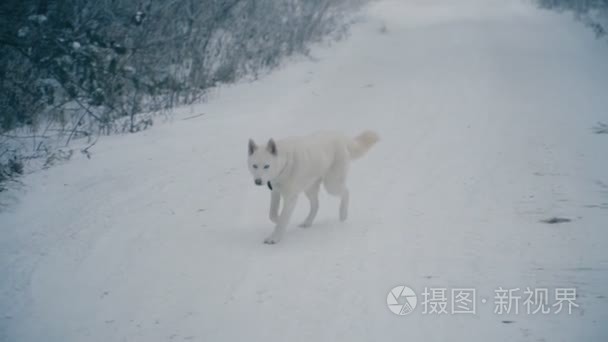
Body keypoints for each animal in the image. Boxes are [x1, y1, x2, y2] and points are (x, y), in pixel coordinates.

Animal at [245, 130, 378, 244]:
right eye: (255, 166)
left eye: (266, 166)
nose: (258, 181)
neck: (285, 164)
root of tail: (340, 137)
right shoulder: (275, 192)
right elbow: (272, 214)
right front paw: (278, 219)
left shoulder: (291, 198)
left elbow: (282, 219)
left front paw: (274, 238)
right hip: (309, 188)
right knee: (316, 205)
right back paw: (307, 222)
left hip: (331, 185)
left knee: (346, 192)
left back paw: (343, 215)